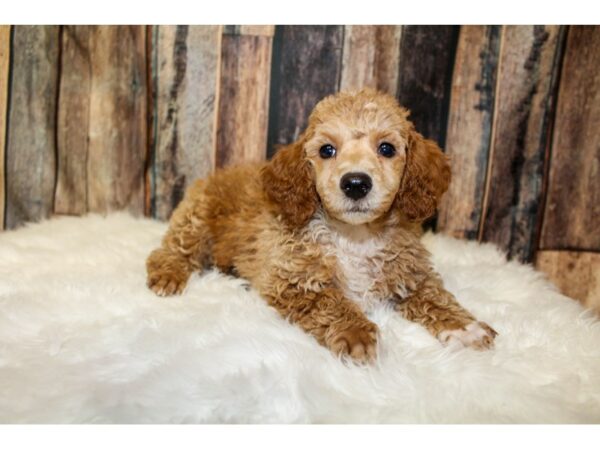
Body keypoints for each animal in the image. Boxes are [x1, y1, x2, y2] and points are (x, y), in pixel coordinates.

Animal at [148, 88, 500, 362]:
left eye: (386, 148)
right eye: (327, 150)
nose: (356, 183)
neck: (355, 235)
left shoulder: (412, 274)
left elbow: (436, 297)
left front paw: (465, 328)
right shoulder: (292, 280)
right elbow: (330, 301)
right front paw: (356, 333)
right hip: (196, 220)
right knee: (168, 251)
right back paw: (168, 275)